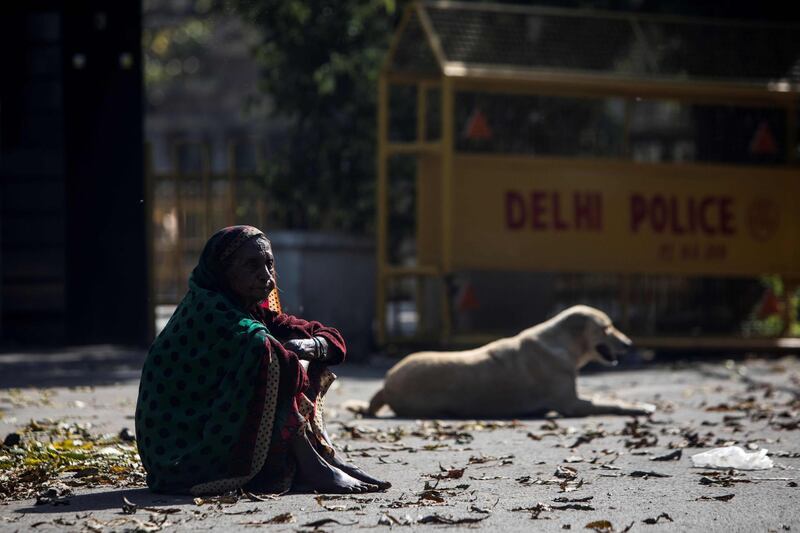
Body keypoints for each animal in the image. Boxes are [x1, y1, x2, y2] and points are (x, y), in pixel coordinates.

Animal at [368, 306, 656, 418]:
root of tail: (386, 382)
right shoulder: (572, 405)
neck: (564, 343)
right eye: (606, 328)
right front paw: (641, 407)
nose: (629, 343)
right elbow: (611, 403)